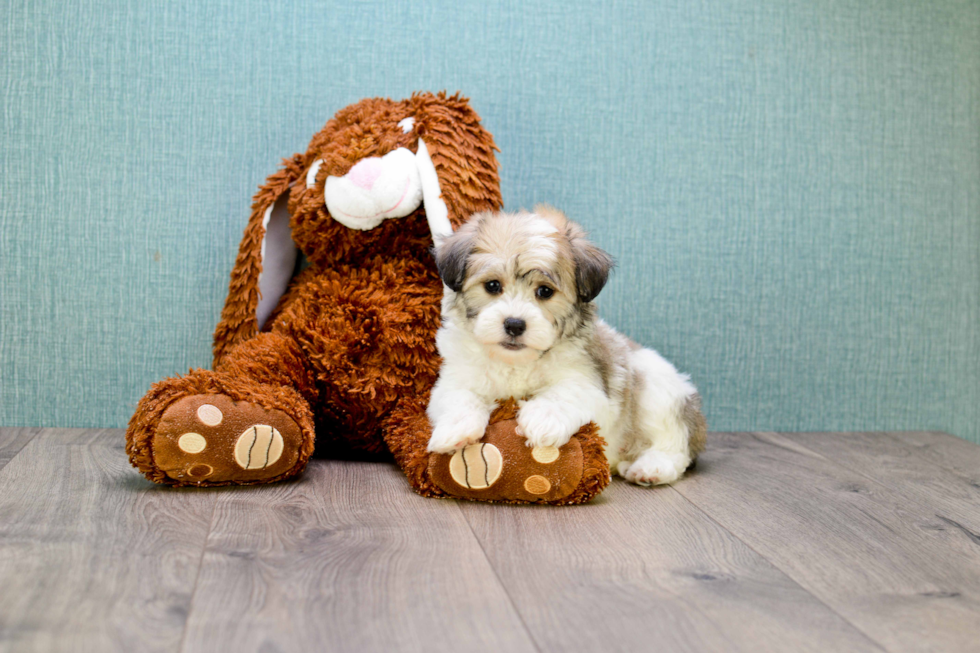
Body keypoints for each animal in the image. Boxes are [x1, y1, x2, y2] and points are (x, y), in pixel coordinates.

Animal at [424, 208, 708, 484]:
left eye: (545, 291)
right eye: (492, 286)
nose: (514, 324)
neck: (516, 363)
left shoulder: (590, 384)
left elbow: (563, 393)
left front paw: (542, 419)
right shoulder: (454, 379)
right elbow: (459, 396)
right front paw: (456, 429)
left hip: (656, 387)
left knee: (674, 444)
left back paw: (652, 467)